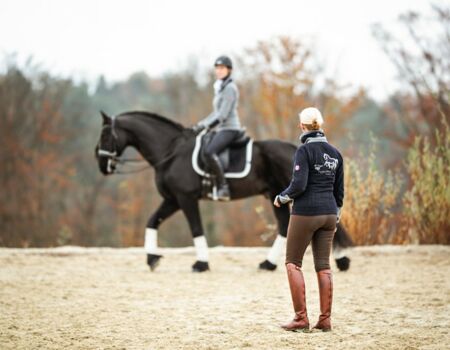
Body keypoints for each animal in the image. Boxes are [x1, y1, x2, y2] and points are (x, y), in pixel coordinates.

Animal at [95, 110, 352, 272]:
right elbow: (152, 221)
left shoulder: (186, 199)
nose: (100, 163)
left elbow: (196, 229)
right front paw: (152, 259)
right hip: (274, 195)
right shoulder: (172, 199)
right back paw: (269, 264)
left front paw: (201, 264)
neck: (171, 152)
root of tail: (294, 148)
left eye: (105, 134)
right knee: (284, 226)